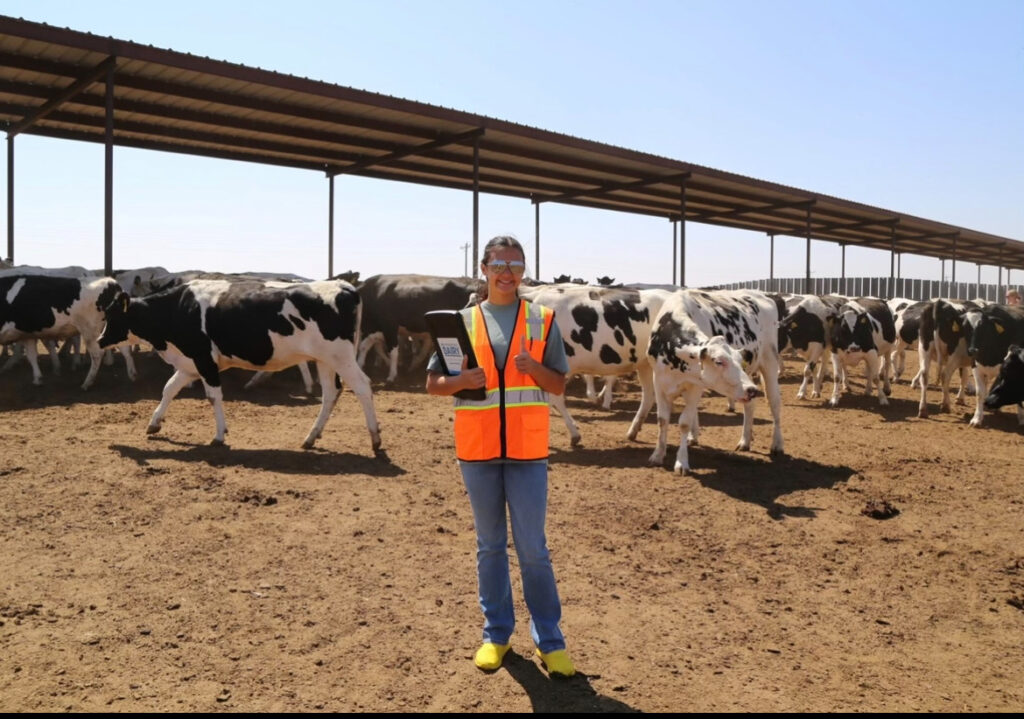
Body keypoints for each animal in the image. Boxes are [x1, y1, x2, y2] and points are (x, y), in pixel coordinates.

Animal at [0, 274, 134, 389]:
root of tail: (112, 283)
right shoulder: (27, 334)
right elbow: (31, 355)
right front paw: (38, 379)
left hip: (90, 330)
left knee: (97, 354)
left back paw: (87, 383)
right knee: (125, 348)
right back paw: (132, 375)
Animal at [97, 280, 380, 452]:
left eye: (113, 316)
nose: (100, 340)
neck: (179, 309)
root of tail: (342, 285)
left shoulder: (204, 360)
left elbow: (213, 396)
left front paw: (219, 436)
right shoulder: (189, 363)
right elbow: (169, 388)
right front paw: (154, 423)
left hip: (341, 356)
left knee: (363, 386)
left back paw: (375, 438)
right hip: (325, 360)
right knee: (331, 394)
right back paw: (310, 438)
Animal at [647, 290, 782, 475]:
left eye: (738, 360)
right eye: (719, 361)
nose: (752, 389)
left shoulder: (696, 386)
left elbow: (684, 422)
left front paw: (681, 462)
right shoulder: (659, 382)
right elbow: (662, 419)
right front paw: (658, 454)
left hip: (770, 363)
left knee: (774, 403)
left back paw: (777, 444)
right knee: (749, 405)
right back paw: (745, 441)